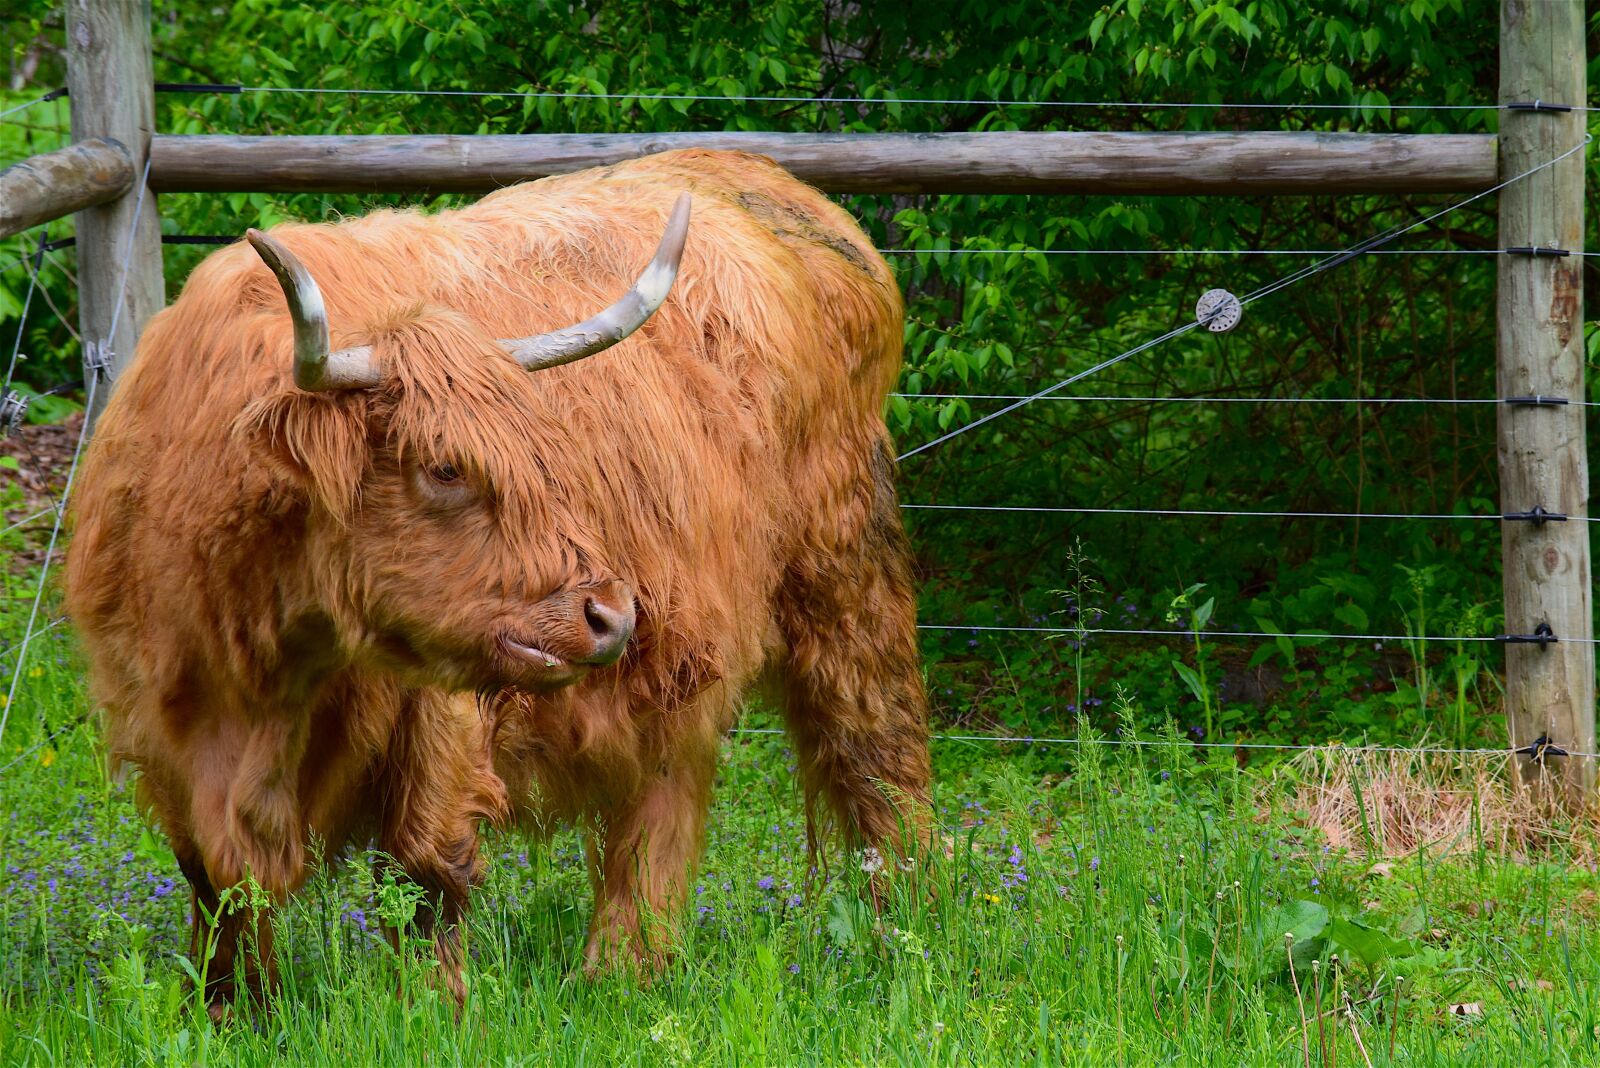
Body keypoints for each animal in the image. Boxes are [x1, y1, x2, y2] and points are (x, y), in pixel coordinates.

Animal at [64, 149, 932, 1014]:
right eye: (446, 468)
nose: (610, 615)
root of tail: (768, 179)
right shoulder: (165, 724)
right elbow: (217, 882)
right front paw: (232, 1009)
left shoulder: (441, 712)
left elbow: (426, 867)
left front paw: (435, 1008)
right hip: (689, 645)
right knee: (672, 778)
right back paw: (629, 966)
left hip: (843, 564)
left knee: (872, 736)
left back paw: (904, 916)